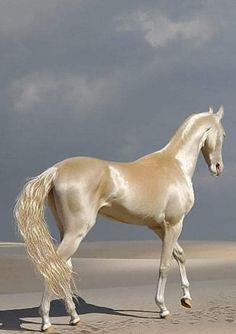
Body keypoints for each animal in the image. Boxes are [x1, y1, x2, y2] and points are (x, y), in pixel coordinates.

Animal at [14, 105, 225, 330]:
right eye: (223, 134)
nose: (218, 167)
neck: (175, 166)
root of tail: (56, 170)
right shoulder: (174, 224)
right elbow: (165, 265)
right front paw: (163, 308)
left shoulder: (159, 227)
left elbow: (180, 255)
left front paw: (186, 298)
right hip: (76, 232)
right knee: (54, 266)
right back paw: (46, 322)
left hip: (66, 231)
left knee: (63, 268)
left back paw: (74, 316)